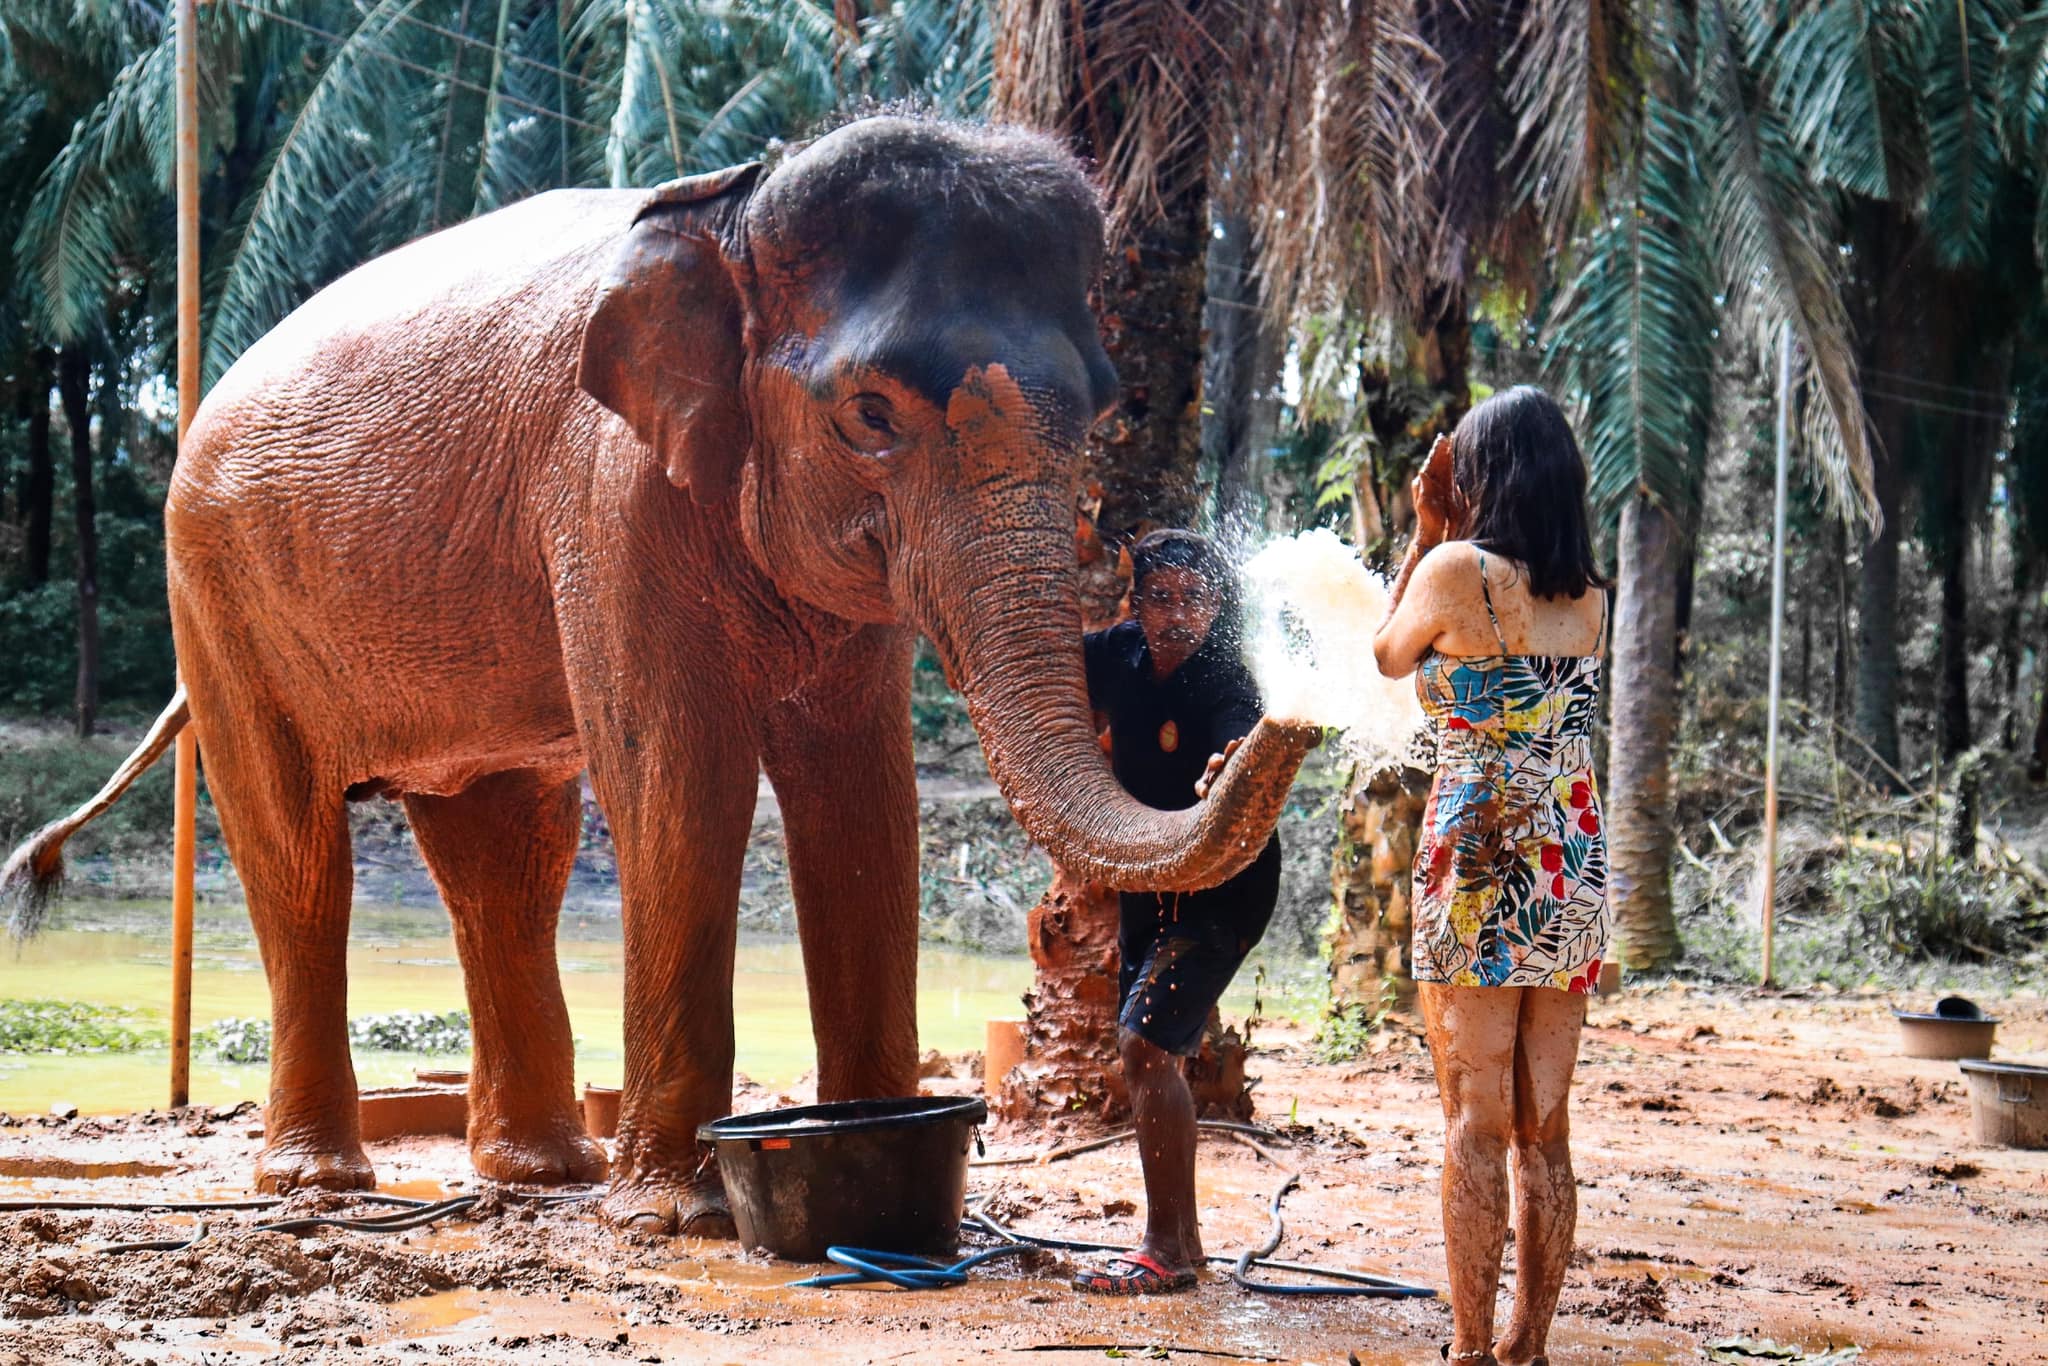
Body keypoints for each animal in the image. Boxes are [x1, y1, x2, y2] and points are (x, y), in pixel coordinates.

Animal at [3, 115, 1315, 1233]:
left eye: (1101, 406)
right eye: (870, 415)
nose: (1268, 723)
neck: (732, 212)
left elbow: (862, 797)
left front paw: (881, 1148)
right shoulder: (607, 493)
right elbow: (678, 779)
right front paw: (679, 1211)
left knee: (504, 864)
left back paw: (541, 1175)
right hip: (217, 594)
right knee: (296, 849)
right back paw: (323, 1187)